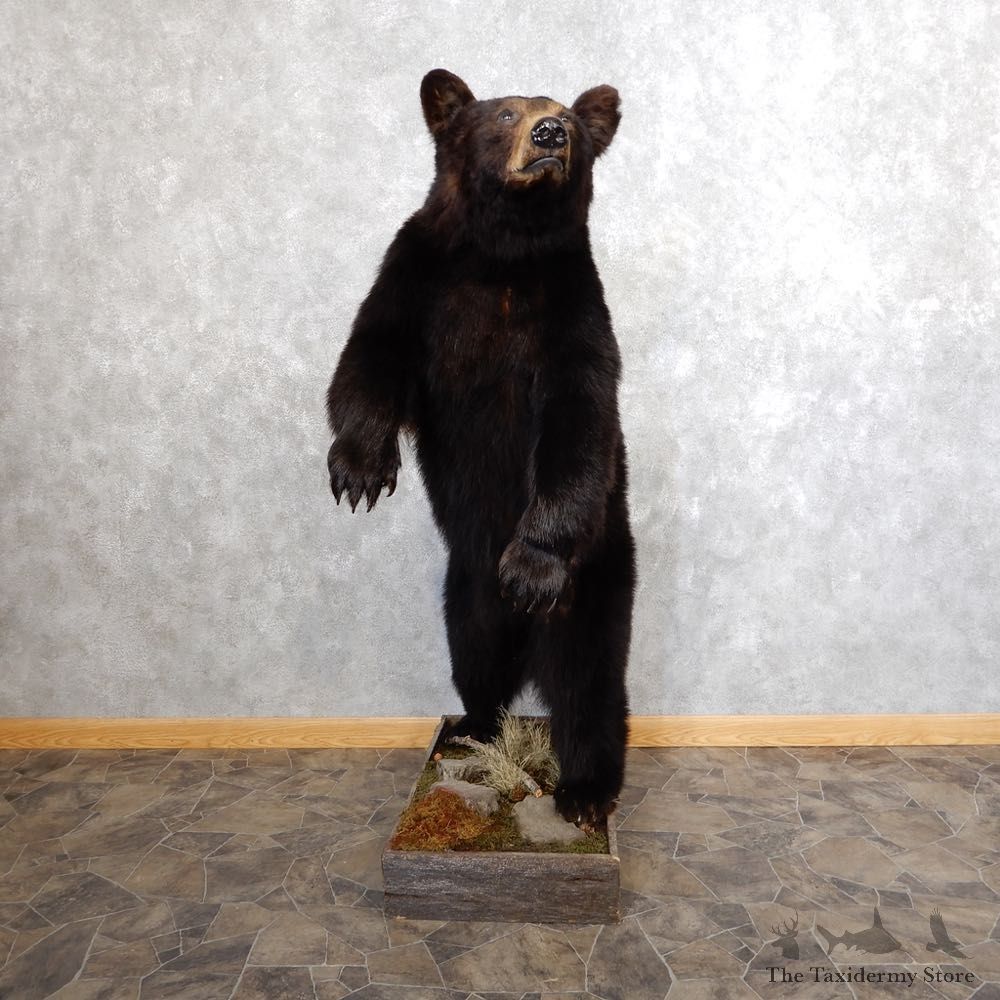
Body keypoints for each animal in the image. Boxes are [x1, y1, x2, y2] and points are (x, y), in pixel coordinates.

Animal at [326, 69, 635, 825]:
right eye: (505, 114)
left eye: (568, 120)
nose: (550, 134)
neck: (504, 255)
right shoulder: (415, 274)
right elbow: (370, 354)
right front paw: (360, 468)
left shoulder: (572, 310)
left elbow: (580, 423)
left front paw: (531, 563)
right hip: (464, 588)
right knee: (475, 656)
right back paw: (470, 728)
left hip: (594, 584)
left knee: (587, 684)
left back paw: (585, 790)